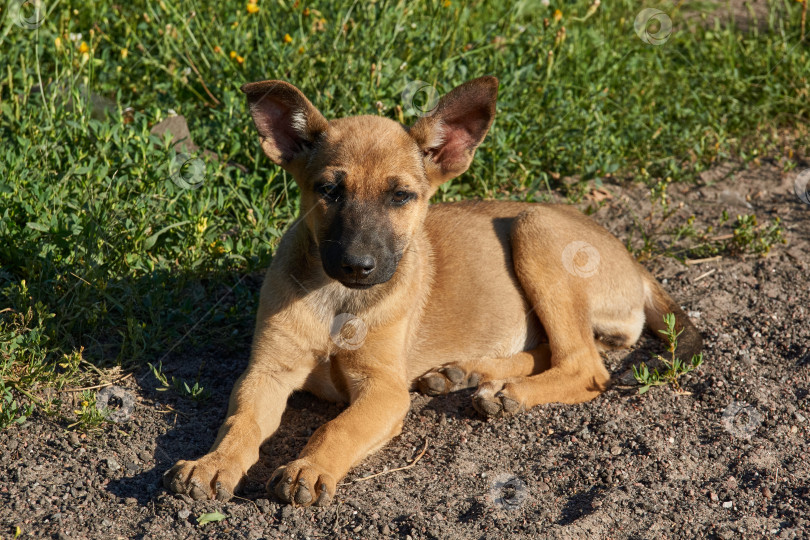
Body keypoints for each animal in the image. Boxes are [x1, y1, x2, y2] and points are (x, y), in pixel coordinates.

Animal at [161, 76, 696, 506]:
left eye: (401, 196)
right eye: (329, 191)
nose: (358, 266)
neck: (338, 302)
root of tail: (634, 262)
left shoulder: (383, 388)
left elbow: (337, 427)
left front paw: (308, 468)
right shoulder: (266, 372)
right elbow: (241, 422)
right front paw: (213, 462)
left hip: (535, 230)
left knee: (585, 365)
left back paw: (508, 393)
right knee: (557, 350)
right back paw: (467, 373)